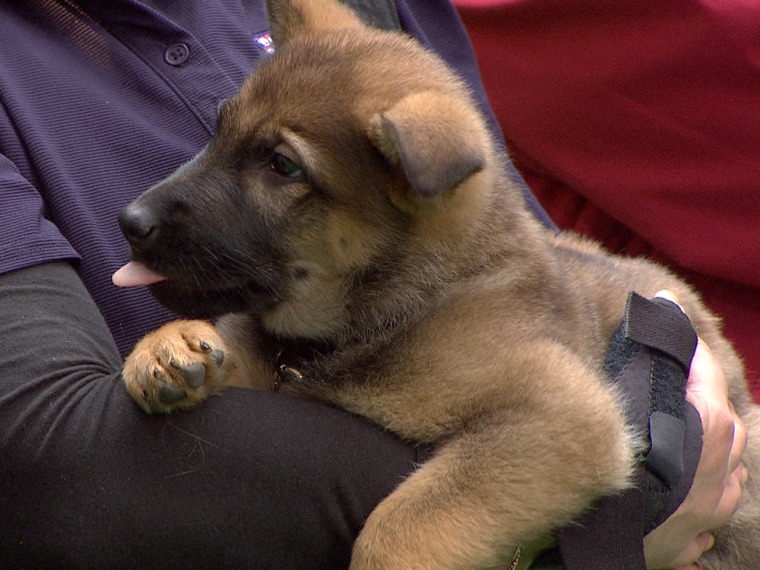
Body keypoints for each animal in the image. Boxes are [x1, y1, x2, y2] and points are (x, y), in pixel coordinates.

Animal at [116, 1, 760, 564]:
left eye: (282, 165)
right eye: (219, 132)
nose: (131, 222)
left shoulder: (563, 415)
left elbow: (403, 524)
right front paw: (171, 348)